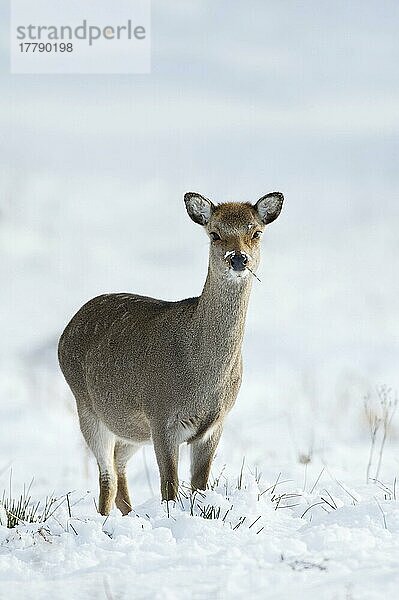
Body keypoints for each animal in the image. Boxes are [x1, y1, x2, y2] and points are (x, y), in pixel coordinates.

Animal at [59, 193, 284, 516]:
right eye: (214, 233)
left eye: (256, 233)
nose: (238, 258)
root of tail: (66, 331)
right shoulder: (161, 416)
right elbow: (170, 488)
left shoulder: (215, 424)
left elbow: (200, 485)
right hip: (86, 406)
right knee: (106, 476)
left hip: (131, 428)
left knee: (118, 462)